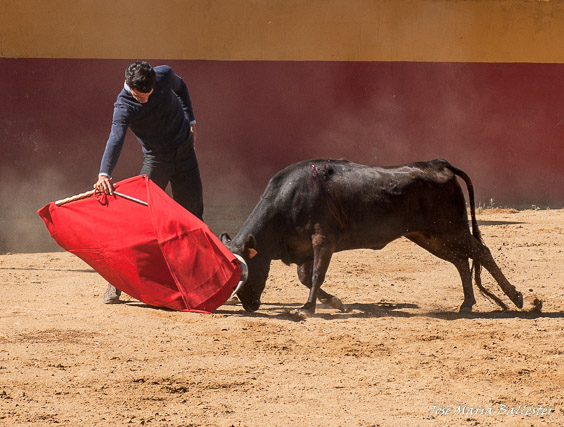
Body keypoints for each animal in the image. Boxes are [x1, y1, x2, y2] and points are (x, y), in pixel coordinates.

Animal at [221, 159, 524, 316]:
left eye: (246, 273)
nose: (249, 306)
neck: (289, 200)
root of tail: (439, 165)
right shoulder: (305, 248)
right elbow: (306, 277)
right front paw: (334, 302)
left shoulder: (323, 242)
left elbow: (316, 276)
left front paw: (307, 308)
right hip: (431, 236)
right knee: (461, 261)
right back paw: (466, 304)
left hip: (451, 230)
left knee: (481, 252)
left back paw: (517, 298)